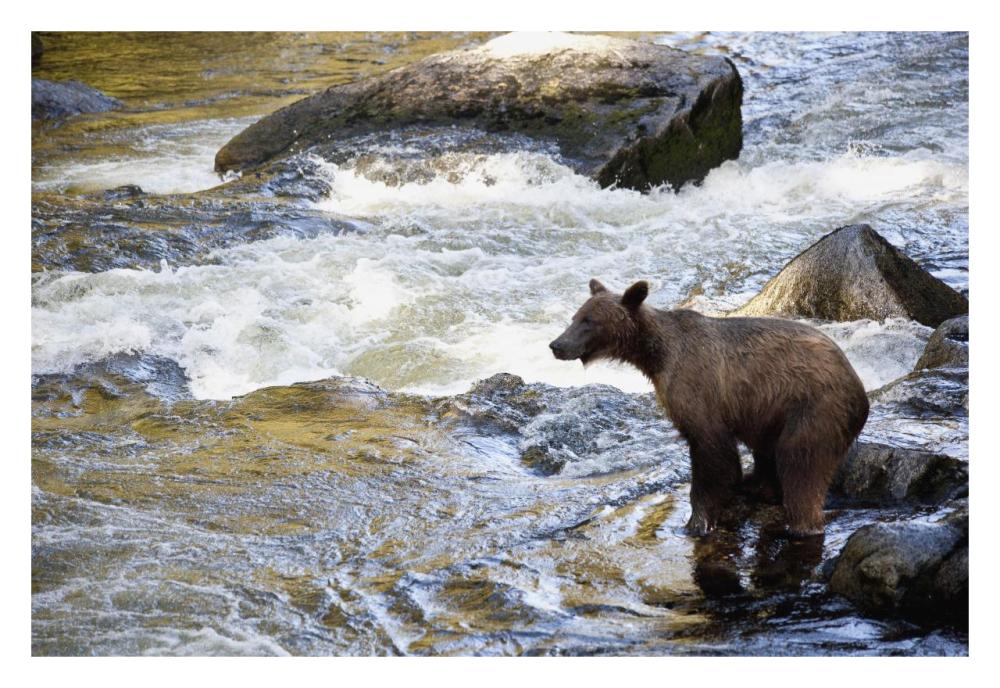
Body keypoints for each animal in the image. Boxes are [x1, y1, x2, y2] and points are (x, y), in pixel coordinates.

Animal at [549, 279, 869, 537]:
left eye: (589, 320)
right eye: (575, 317)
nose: (556, 344)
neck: (656, 356)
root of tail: (859, 388)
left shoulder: (698, 389)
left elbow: (713, 454)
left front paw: (696, 522)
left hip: (814, 407)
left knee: (801, 466)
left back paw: (801, 524)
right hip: (771, 411)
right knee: (770, 455)